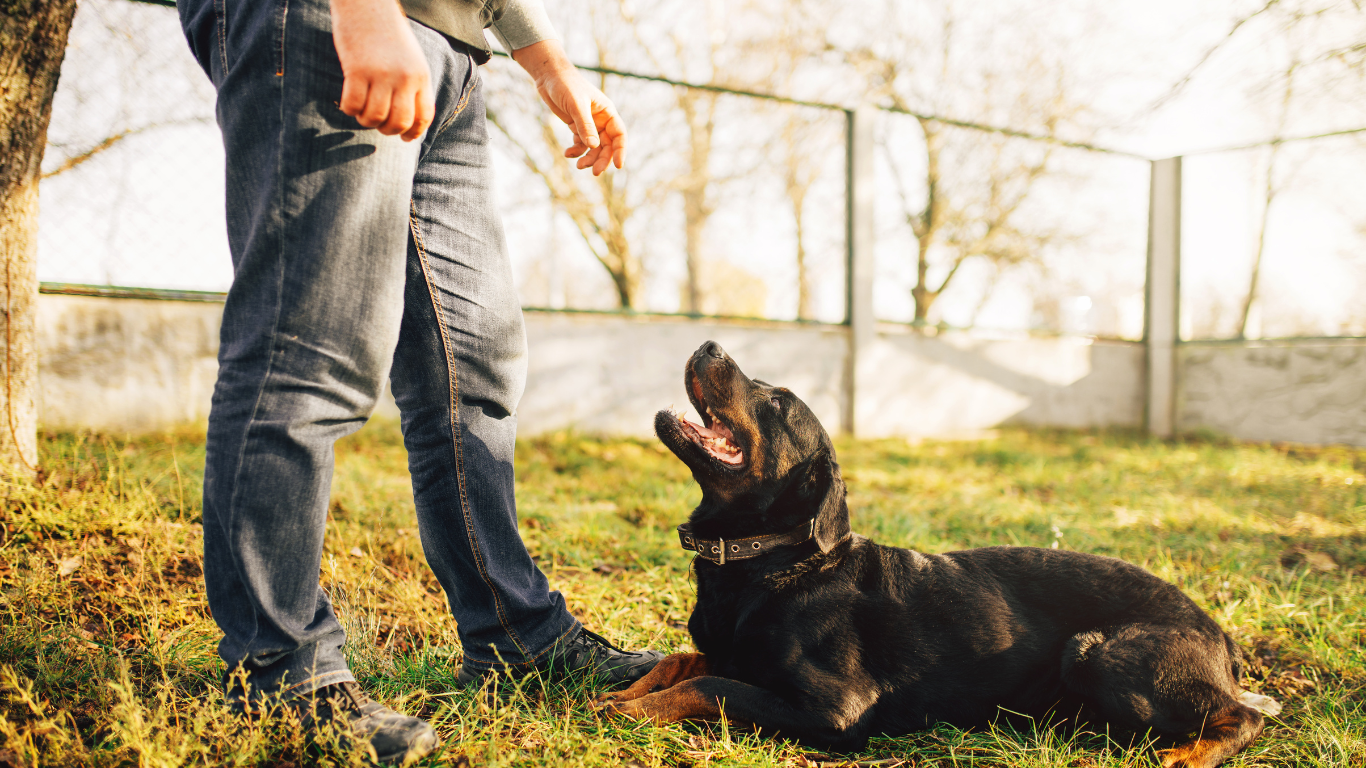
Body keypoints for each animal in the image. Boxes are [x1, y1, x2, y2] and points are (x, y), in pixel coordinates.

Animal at [598, 340, 1278, 765]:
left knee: (1244, 719)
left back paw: (1181, 757)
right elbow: (685, 661)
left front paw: (634, 710)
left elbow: (710, 685)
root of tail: (1220, 635)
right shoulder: (727, 651)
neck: (768, 560)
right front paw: (626, 692)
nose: (711, 344)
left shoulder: (836, 707)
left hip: (1099, 653)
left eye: (778, 401)